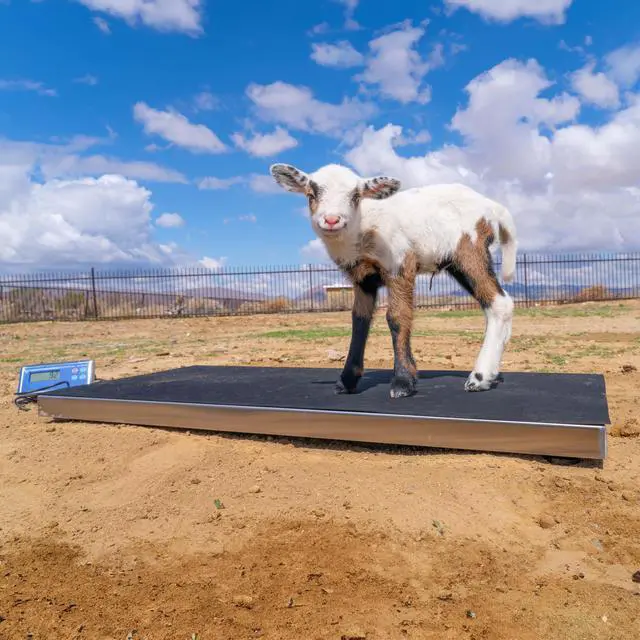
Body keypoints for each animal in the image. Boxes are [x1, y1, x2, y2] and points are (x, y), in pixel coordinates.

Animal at [270, 162, 518, 399]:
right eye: (311, 193)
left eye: (355, 196)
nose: (331, 220)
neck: (362, 227)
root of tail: (491, 206)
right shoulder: (363, 278)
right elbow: (359, 320)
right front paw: (347, 380)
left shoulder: (400, 263)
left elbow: (397, 316)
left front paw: (403, 381)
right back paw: (491, 374)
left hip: (469, 251)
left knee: (499, 303)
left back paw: (479, 377)